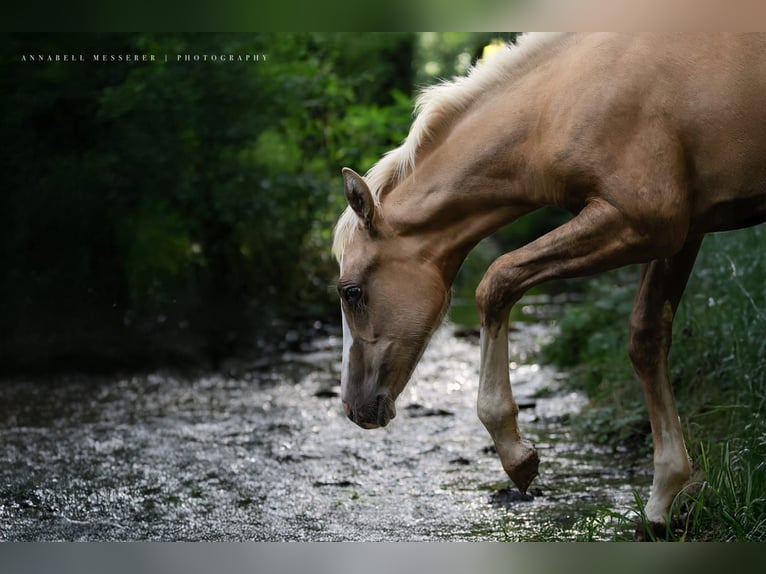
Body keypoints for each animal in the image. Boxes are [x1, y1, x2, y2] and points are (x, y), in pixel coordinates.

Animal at [332, 33, 766, 534]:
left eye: (352, 292)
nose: (352, 408)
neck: (559, 100)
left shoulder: (642, 222)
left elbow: (496, 280)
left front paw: (515, 454)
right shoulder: (681, 232)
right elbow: (646, 338)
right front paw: (663, 498)